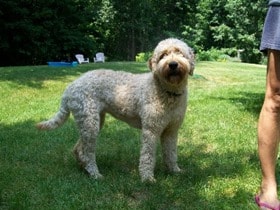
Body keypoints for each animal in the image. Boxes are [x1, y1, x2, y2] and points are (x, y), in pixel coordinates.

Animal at [36, 38, 195, 182]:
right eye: (163, 55)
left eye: (179, 53)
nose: (173, 64)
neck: (167, 91)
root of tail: (70, 87)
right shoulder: (151, 130)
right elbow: (147, 156)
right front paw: (147, 178)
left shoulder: (171, 130)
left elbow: (171, 153)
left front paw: (174, 171)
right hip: (90, 123)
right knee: (88, 153)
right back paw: (95, 174)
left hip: (91, 122)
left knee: (79, 149)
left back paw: (84, 168)